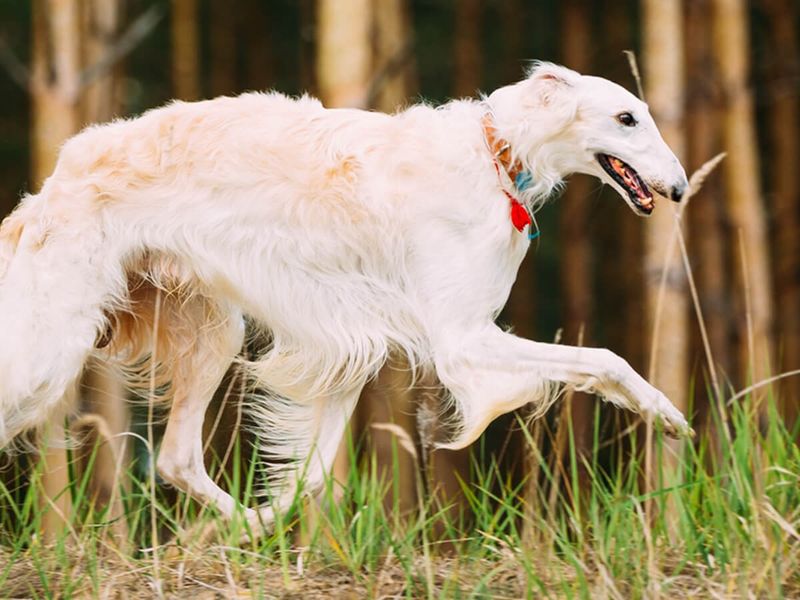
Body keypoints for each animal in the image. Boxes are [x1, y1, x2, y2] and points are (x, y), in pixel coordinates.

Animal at [0, 63, 688, 528]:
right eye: (627, 117)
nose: (681, 188)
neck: (494, 154)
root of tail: (53, 181)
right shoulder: (461, 341)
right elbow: (603, 359)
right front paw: (667, 415)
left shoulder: (352, 343)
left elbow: (309, 477)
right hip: (53, 347)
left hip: (211, 331)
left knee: (176, 460)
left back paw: (243, 525)